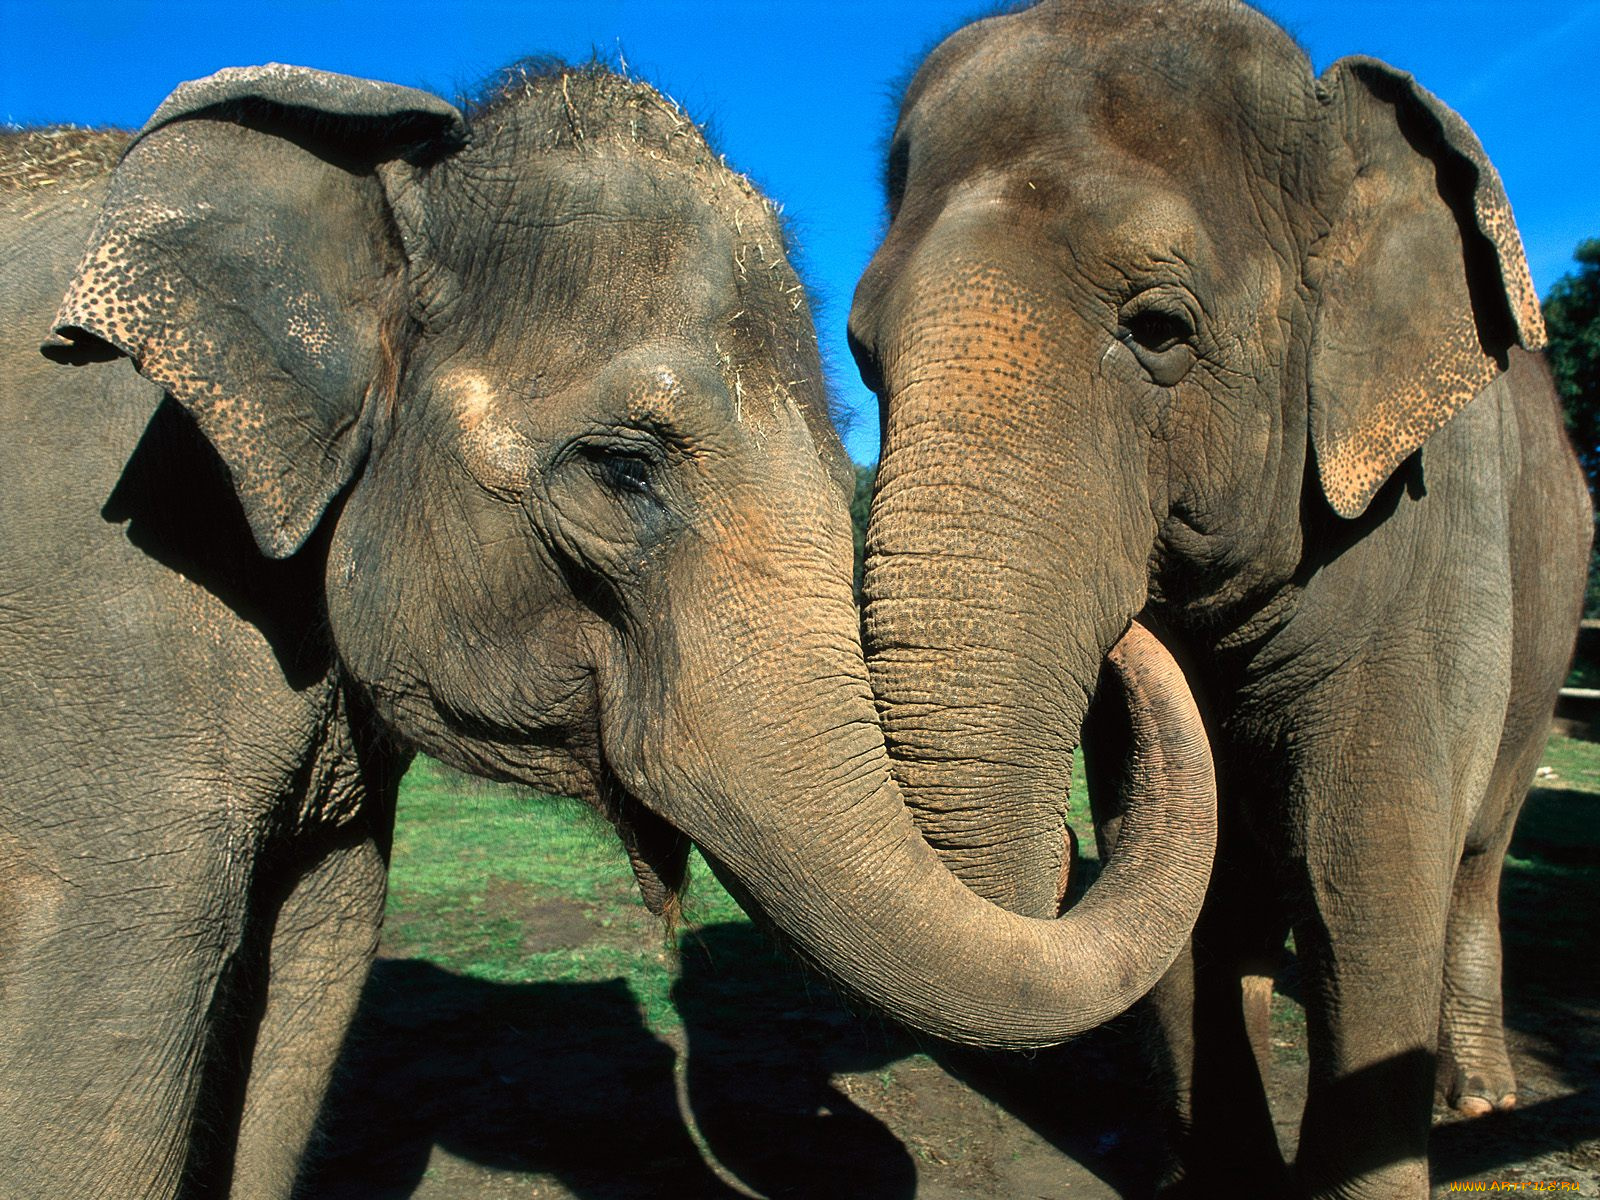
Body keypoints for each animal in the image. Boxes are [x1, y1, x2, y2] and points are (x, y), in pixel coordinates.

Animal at [848, 2, 1592, 1197]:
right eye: (865, 355)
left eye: (1159, 328)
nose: (1131, 630)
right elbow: (1179, 893)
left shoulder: (1438, 533)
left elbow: (1365, 871)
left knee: (1475, 856)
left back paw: (1479, 1096)